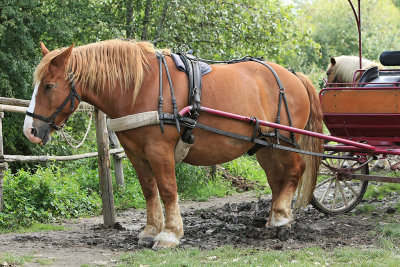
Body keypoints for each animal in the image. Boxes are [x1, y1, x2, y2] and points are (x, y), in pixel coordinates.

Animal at [23, 39, 324, 249]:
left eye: (49, 85)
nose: (30, 130)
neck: (140, 88)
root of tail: (294, 76)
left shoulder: (159, 150)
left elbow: (168, 190)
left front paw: (169, 234)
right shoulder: (135, 153)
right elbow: (149, 190)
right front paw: (150, 231)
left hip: (284, 140)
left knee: (295, 170)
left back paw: (282, 216)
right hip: (265, 145)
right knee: (277, 178)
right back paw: (274, 217)